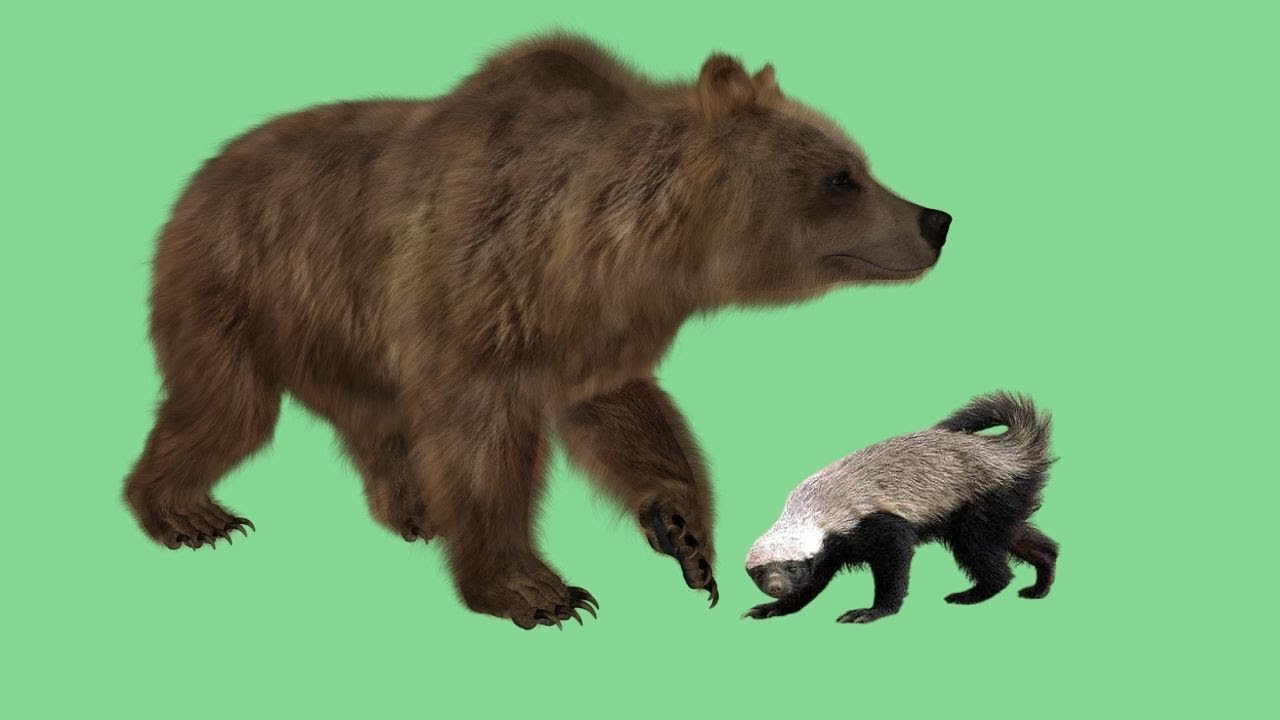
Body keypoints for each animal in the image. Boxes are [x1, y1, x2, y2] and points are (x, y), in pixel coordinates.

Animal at [123, 33, 951, 629]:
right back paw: (187, 513)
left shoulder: (587, 331)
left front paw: (684, 533)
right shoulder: (478, 299)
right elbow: (485, 447)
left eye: (859, 161)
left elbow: (626, 415)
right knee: (228, 407)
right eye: (842, 176)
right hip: (243, 284)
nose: (935, 219)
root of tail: (202, 171)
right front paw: (538, 592)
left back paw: (414, 507)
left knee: (373, 416)